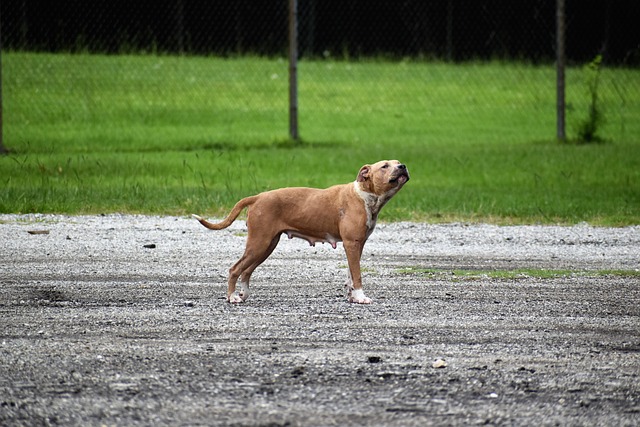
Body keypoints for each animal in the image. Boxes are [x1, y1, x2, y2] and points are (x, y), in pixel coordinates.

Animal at [191, 160, 410, 304]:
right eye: (385, 166)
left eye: (397, 162)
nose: (403, 166)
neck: (364, 195)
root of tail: (258, 197)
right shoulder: (352, 243)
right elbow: (357, 275)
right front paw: (361, 297)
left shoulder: (356, 245)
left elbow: (350, 273)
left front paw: (352, 296)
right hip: (258, 243)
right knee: (235, 269)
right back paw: (232, 297)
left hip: (267, 245)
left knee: (246, 271)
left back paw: (243, 294)